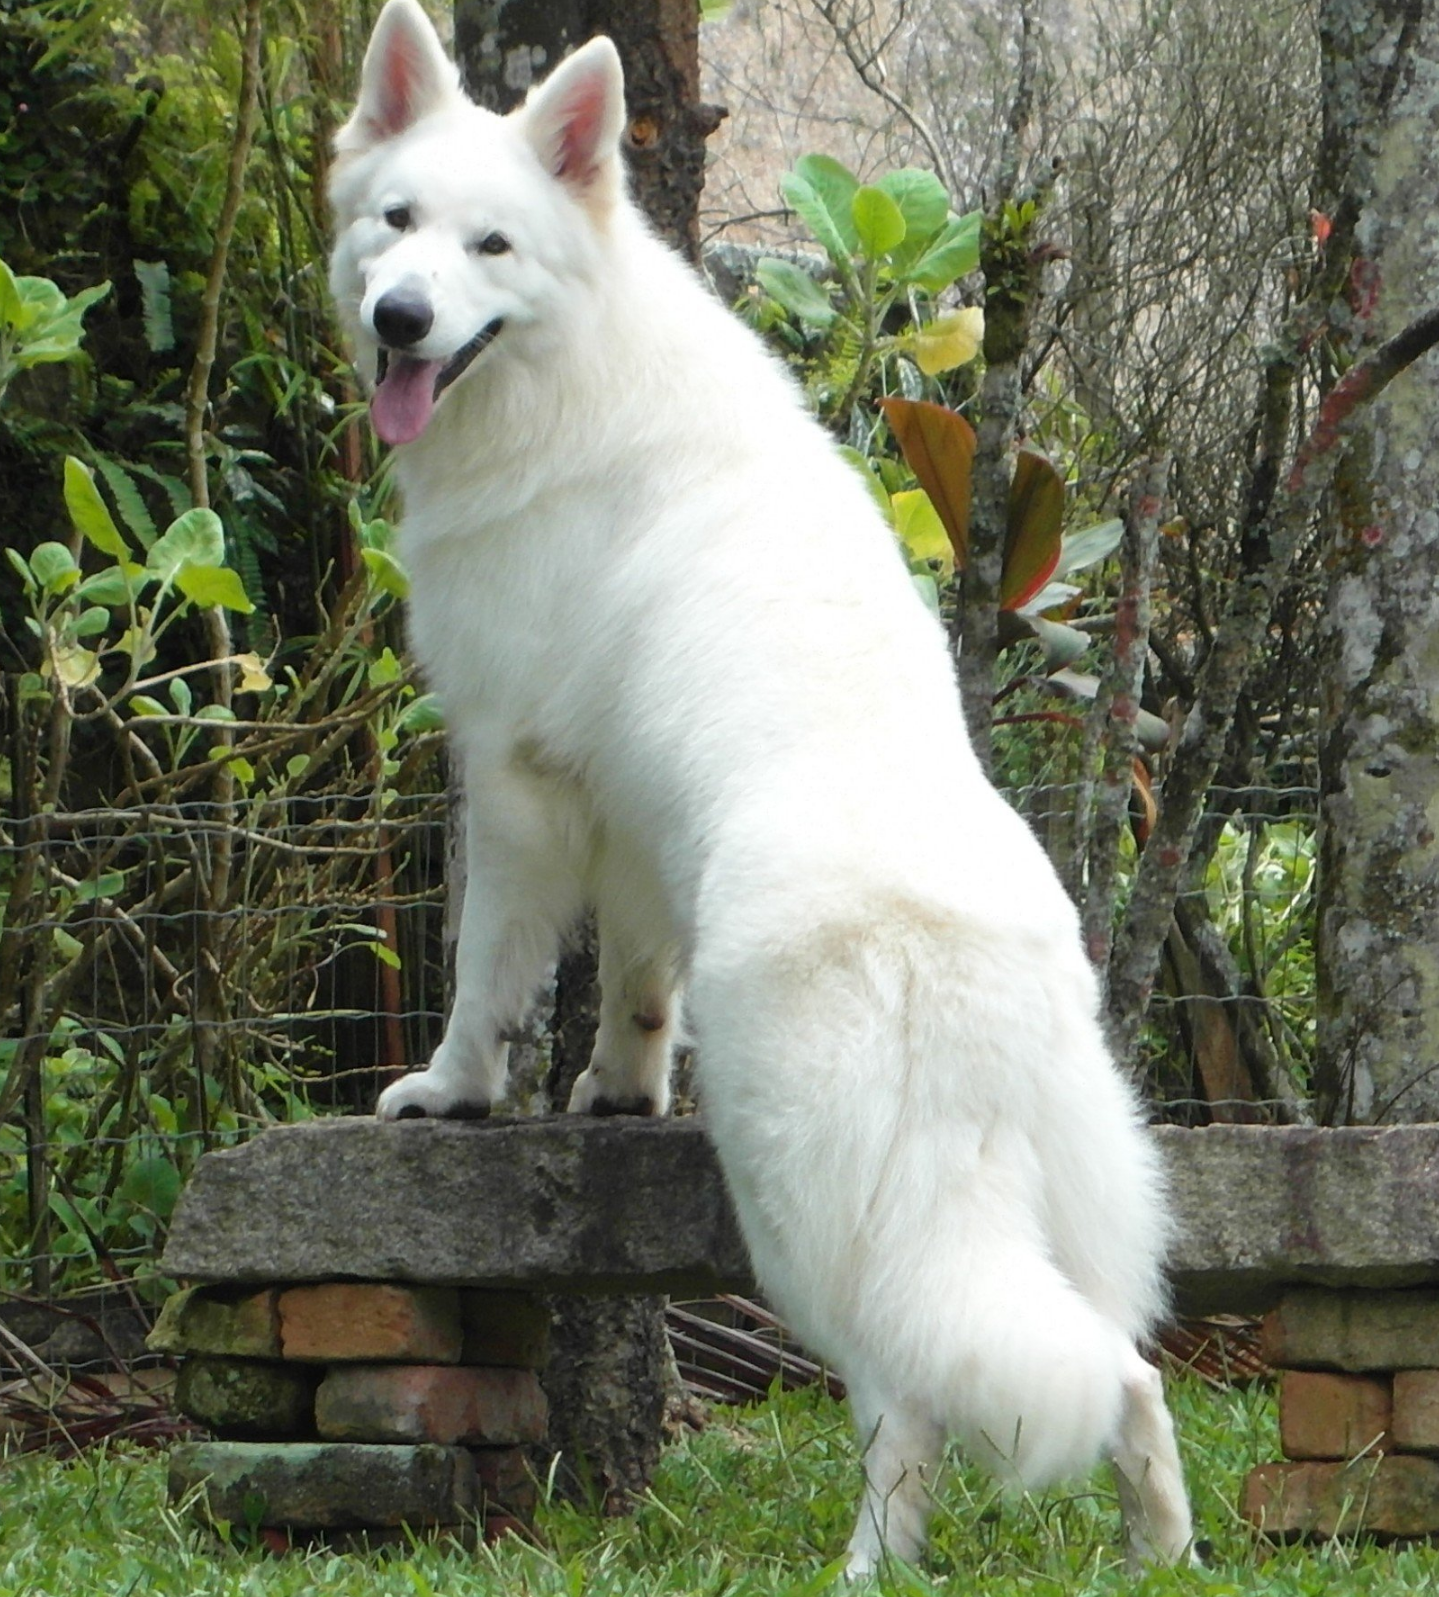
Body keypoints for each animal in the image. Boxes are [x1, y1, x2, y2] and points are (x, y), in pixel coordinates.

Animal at [328, 0, 1194, 1574]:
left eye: (491, 246)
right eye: (396, 222)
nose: (399, 319)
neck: (578, 363)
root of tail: (955, 961)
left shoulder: (515, 779)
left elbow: (494, 973)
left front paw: (453, 1092)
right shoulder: (628, 818)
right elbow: (632, 981)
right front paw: (617, 1092)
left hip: (811, 1231)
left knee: (913, 1400)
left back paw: (869, 1567)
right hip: (1067, 1217)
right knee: (1122, 1367)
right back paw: (1157, 1552)